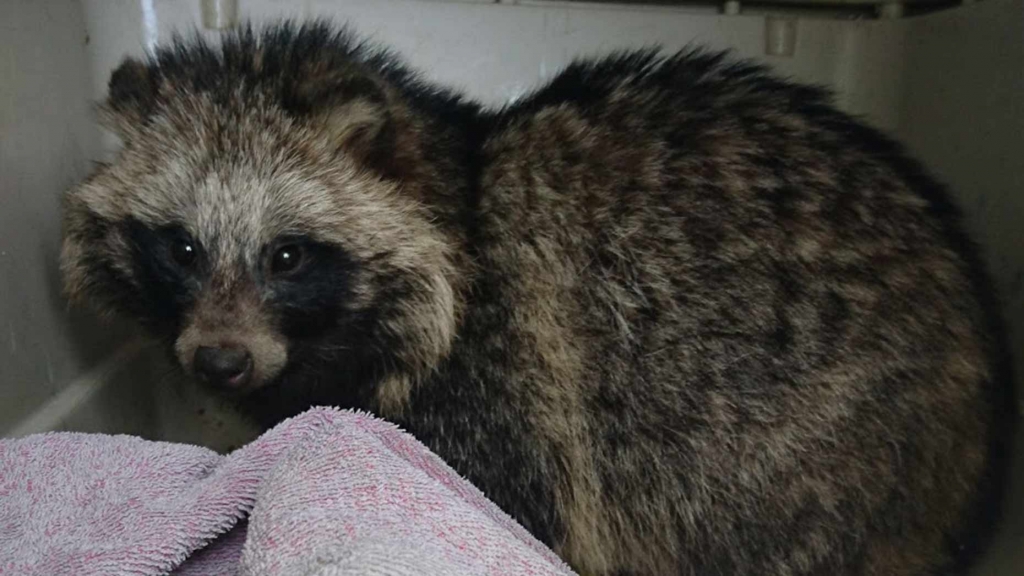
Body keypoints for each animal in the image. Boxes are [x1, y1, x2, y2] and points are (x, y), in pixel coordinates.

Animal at [59, 19, 1011, 573]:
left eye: (288, 256)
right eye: (181, 247)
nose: (219, 362)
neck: (461, 192)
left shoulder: (503, 378)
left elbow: (493, 501)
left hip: (797, 460)